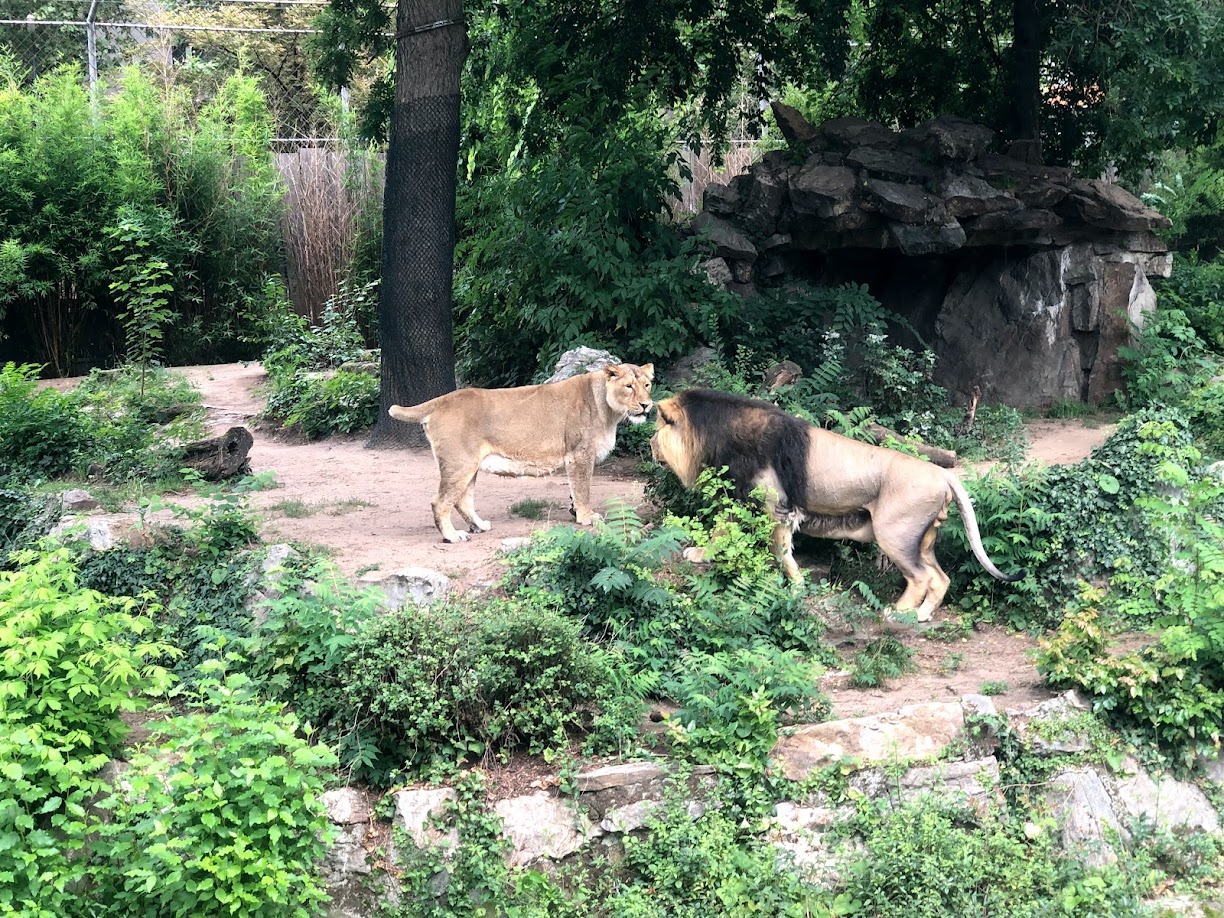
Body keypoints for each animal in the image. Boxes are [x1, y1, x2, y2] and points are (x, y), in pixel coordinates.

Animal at [389, 363, 654, 543]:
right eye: (629, 386)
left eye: (647, 385)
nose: (646, 405)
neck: (609, 410)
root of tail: (441, 400)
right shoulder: (580, 455)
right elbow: (583, 490)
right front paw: (586, 517)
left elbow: (574, 491)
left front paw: (575, 512)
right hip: (459, 465)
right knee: (440, 502)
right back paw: (453, 536)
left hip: (469, 467)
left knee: (463, 500)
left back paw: (479, 526)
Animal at [649, 388, 1021, 620]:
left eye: (655, 430)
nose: (651, 448)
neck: (715, 435)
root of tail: (943, 474)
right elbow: (735, 533)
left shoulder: (771, 503)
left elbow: (765, 544)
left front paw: (795, 586)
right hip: (922, 539)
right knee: (940, 578)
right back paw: (923, 615)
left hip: (894, 533)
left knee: (920, 578)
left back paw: (897, 612)